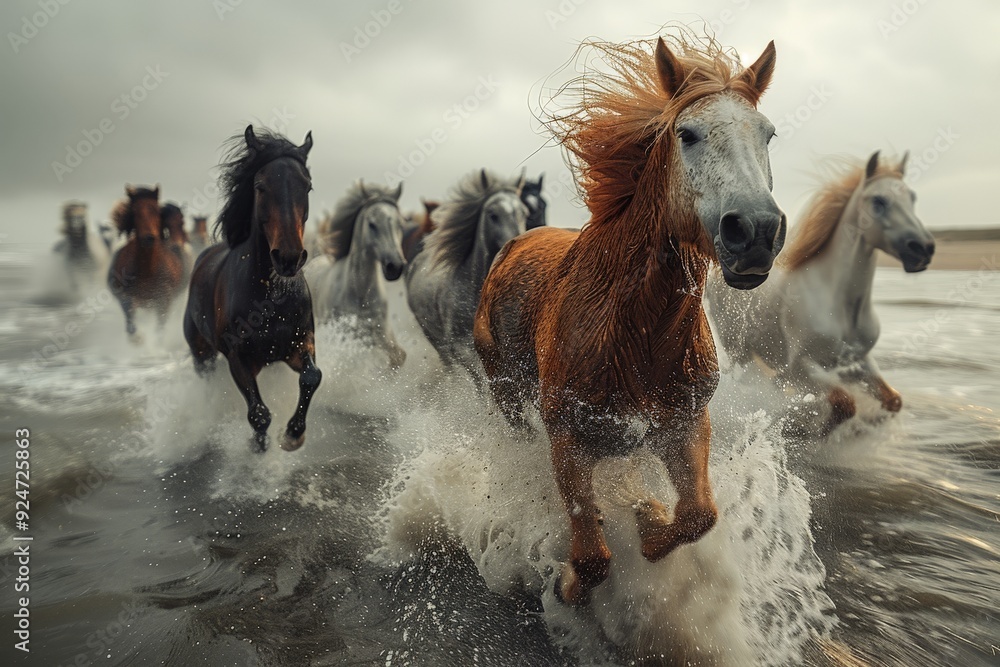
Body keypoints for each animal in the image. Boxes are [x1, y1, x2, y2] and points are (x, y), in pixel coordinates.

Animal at [107, 186, 185, 338]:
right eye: (134, 212)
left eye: (155, 210)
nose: (149, 238)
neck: (147, 270)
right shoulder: (127, 297)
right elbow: (130, 320)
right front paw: (137, 338)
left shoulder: (164, 300)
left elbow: (160, 328)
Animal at [183, 125, 321, 452]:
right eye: (260, 186)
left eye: (307, 186)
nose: (288, 258)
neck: (269, 299)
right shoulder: (239, 359)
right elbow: (258, 413)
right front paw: (260, 447)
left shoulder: (299, 344)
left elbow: (312, 376)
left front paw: (293, 434)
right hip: (202, 355)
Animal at [304, 181, 408, 368]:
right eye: (372, 224)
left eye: (400, 224)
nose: (395, 266)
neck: (360, 293)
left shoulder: (384, 337)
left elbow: (397, 357)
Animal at [473, 33, 784, 606]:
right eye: (686, 133)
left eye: (768, 134)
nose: (755, 231)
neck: (634, 332)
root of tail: (513, 245)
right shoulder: (567, 439)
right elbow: (592, 555)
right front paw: (569, 587)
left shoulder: (684, 425)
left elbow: (699, 515)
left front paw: (647, 517)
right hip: (505, 393)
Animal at [705, 151, 934, 433]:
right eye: (878, 201)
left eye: (912, 198)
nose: (923, 249)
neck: (841, 305)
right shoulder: (800, 367)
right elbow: (843, 404)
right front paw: (808, 430)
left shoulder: (858, 361)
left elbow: (893, 400)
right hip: (738, 351)